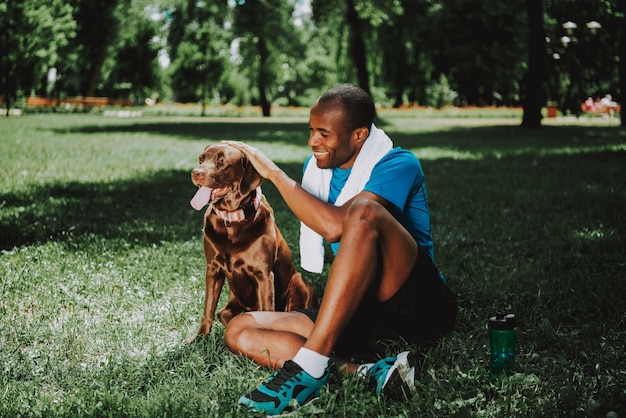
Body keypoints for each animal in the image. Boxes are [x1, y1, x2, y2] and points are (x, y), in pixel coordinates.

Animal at [188, 145, 316, 342]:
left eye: (222, 161)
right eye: (201, 159)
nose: (196, 173)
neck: (232, 220)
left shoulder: (263, 274)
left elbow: (267, 311)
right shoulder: (213, 269)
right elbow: (209, 307)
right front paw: (200, 337)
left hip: (299, 281)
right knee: (223, 313)